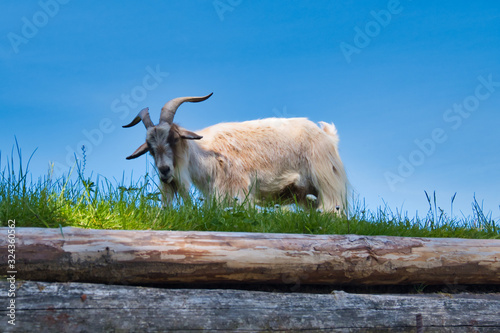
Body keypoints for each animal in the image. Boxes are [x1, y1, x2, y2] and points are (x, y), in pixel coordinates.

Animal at [124, 92, 348, 213]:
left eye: (174, 138)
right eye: (150, 149)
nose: (164, 171)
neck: (207, 154)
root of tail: (328, 136)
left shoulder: (235, 190)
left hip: (326, 183)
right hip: (306, 193)